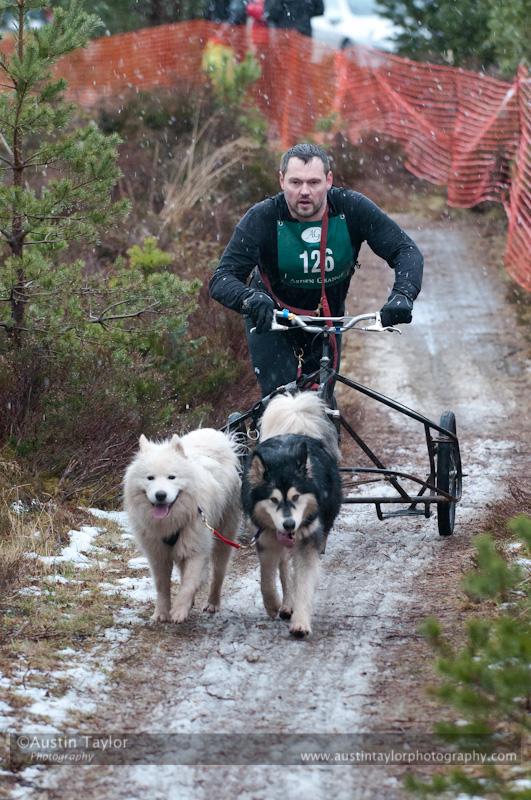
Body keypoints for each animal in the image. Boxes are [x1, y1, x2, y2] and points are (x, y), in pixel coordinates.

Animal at [123, 432, 240, 624]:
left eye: (172, 477)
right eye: (150, 478)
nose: (160, 495)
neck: (171, 522)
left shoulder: (196, 549)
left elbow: (189, 583)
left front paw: (179, 610)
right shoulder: (158, 554)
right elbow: (162, 586)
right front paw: (162, 612)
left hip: (224, 537)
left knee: (218, 574)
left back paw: (212, 602)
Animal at [243, 392, 342, 636]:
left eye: (296, 497)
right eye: (273, 500)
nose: (289, 524)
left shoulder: (307, 541)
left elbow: (304, 582)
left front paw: (301, 622)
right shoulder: (266, 539)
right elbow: (266, 579)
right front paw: (272, 604)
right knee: (284, 569)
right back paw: (286, 604)